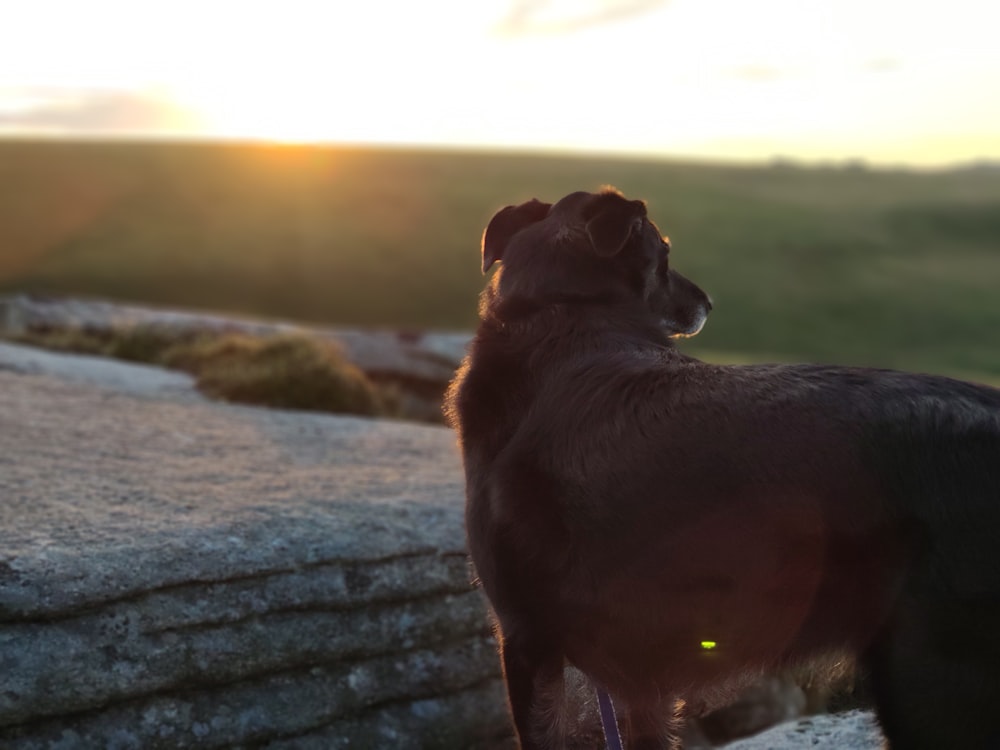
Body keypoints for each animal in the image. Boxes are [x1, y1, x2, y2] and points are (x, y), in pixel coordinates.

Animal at [450, 189, 1000, 750]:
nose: (709, 303)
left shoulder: (528, 639)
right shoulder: (616, 668)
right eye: (665, 255)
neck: (566, 315)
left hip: (934, 683)